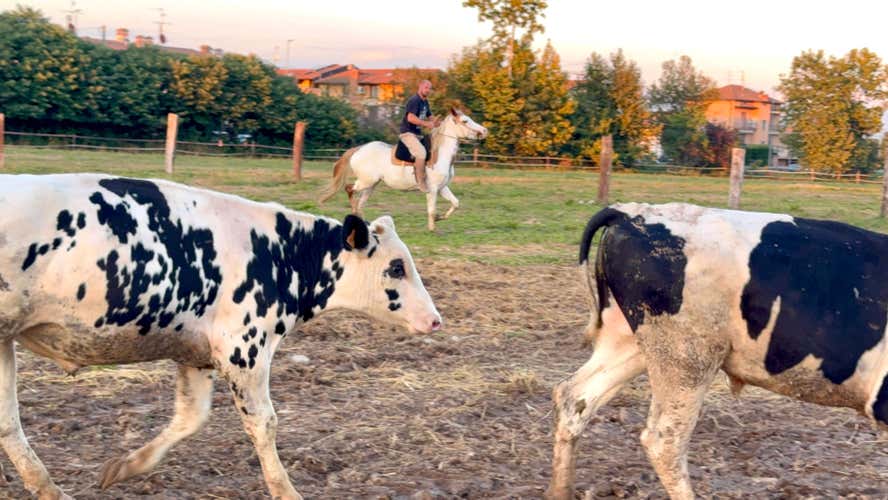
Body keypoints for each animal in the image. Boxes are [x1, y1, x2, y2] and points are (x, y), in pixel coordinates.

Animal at [0, 173, 442, 500]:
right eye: (397, 267)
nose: (436, 320)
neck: (283, 254)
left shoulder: (196, 355)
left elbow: (190, 417)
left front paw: (125, 467)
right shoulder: (244, 349)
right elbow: (264, 423)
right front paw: (286, 491)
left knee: (8, 422)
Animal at [319, 107, 488, 231]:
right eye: (465, 120)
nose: (484, 131)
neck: (440, 155)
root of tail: (358, 149)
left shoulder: (442, 188)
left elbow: (455, 203)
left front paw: (440, 218)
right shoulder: (432, 189)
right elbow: (431, 209)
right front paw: (432, 228)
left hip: (371, 185)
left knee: (360, 203)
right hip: (366, 182)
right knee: (349, 189)